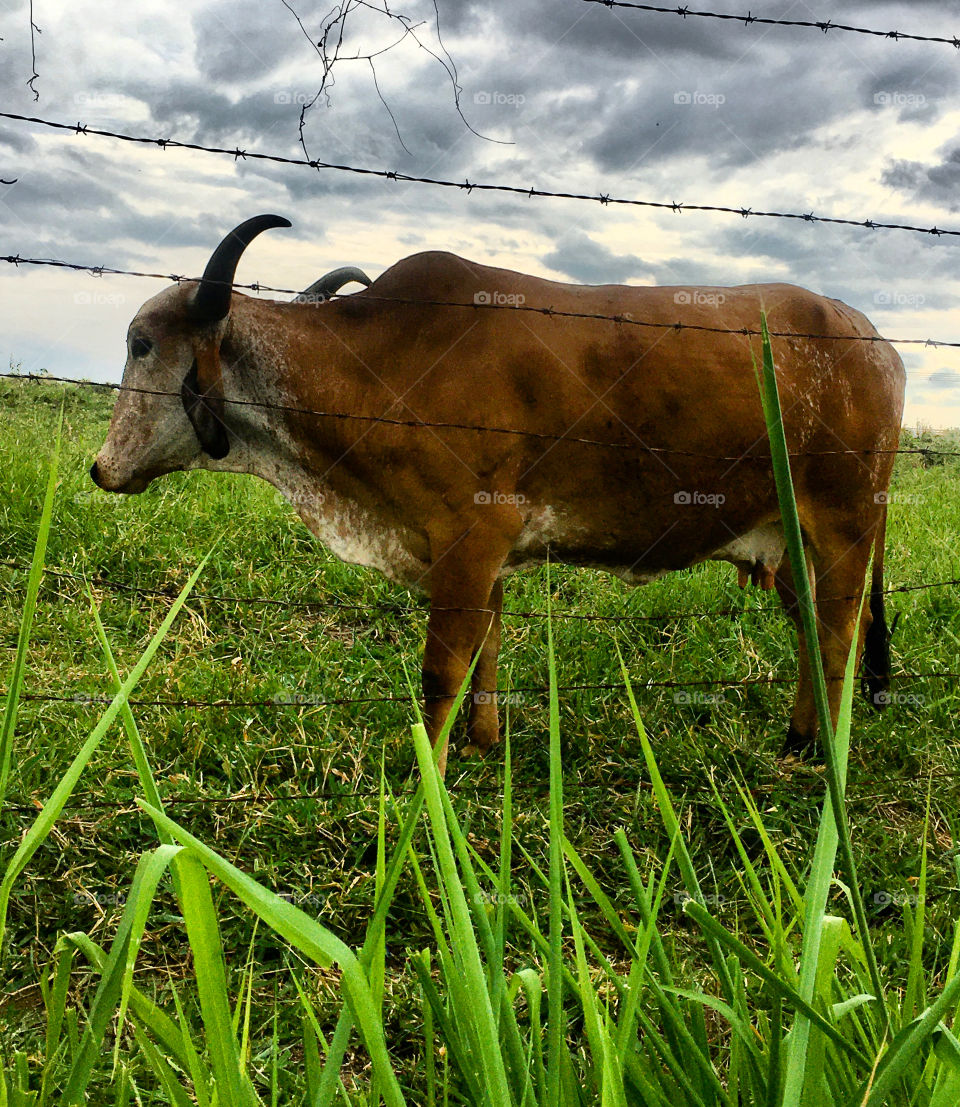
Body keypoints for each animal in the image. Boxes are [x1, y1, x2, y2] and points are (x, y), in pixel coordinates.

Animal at [91, 213, 907, 770]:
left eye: (142, 344)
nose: (101, 469)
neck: (373, 364)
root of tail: (874, 340)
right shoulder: (484, 556)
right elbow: (485, 646)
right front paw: (483, 744)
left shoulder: (470, 535)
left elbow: (441, 670)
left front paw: (428, 775)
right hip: (793, 546)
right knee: (814, 632)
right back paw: (802, 737)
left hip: (845, 527)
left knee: (838, 635)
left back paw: (820, 751)